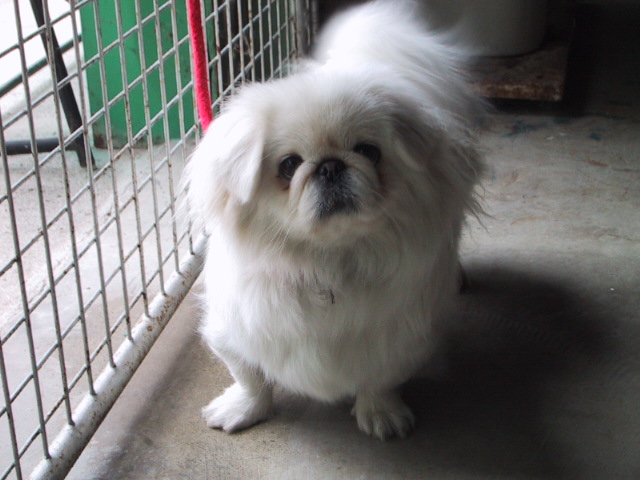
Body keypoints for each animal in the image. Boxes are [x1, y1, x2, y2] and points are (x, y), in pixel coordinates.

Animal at [188, 0, 482, 440]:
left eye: (368, 151)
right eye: (289, 166)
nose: (329, 166)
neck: (325, 261)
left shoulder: (402, 336)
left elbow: (382, 378)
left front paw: (381, 413)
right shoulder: (235, 329)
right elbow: (249, 376)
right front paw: (244, 408)